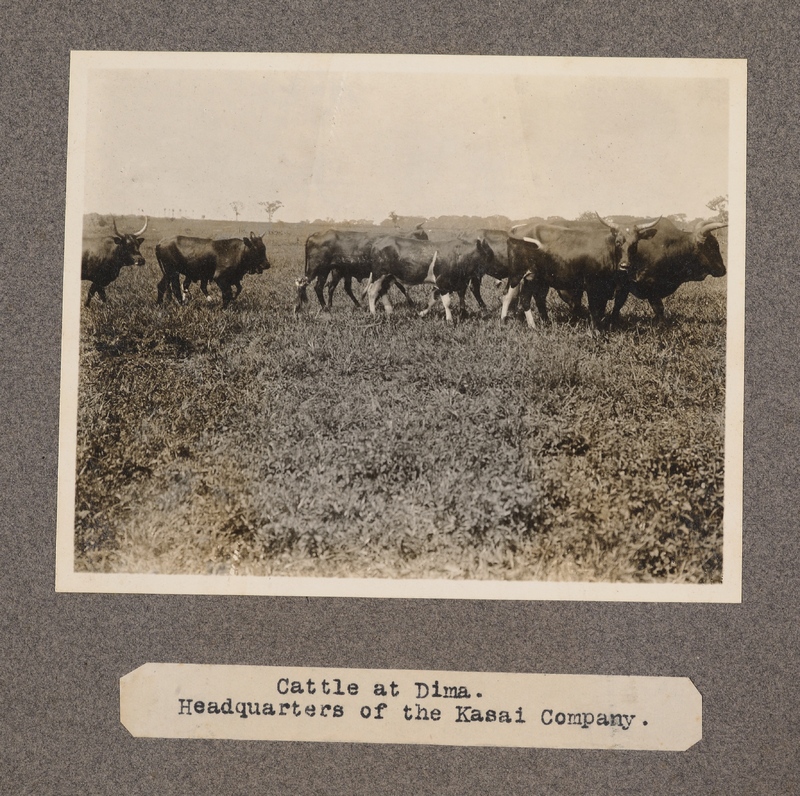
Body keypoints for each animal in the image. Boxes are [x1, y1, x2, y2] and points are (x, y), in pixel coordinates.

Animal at [296, 225, 428, 312]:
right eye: (424, 237)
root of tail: (314, 235)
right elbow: (402, 288)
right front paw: (411, 303)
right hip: (317, 269)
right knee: (306, 285)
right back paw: (312, 308)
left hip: (330, 271)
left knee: (328, 287)